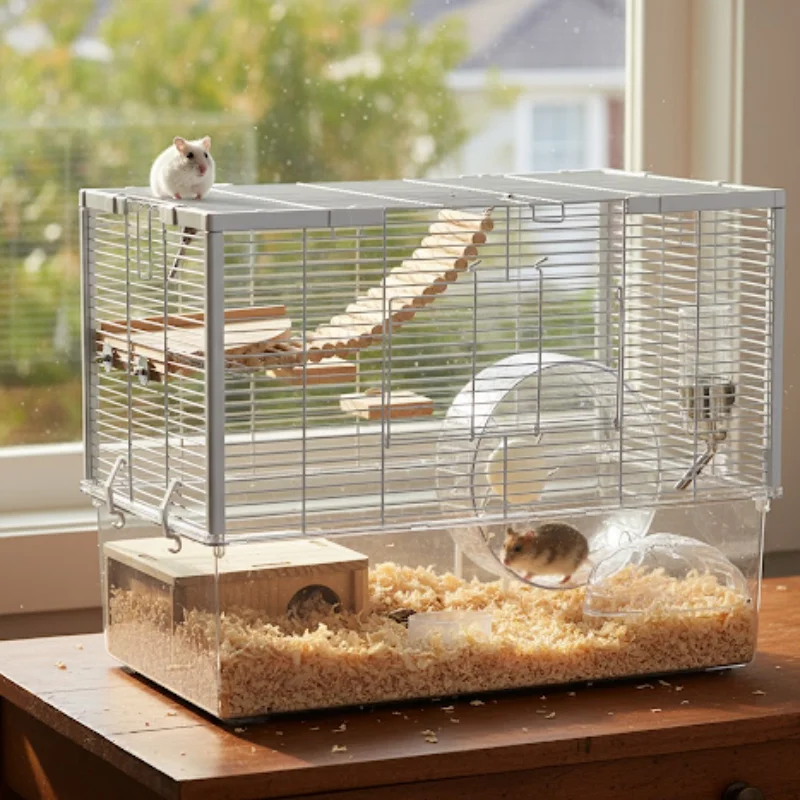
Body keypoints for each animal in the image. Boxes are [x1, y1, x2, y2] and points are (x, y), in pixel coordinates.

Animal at [149, 136, 215, 279]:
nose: (204, 169)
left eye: (206, 155)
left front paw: (197, 199)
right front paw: (178, 198)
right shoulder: (171, 183)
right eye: (189, 155)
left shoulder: (203, 185)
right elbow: (176, 193)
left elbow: (199, 193)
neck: (190, 177)